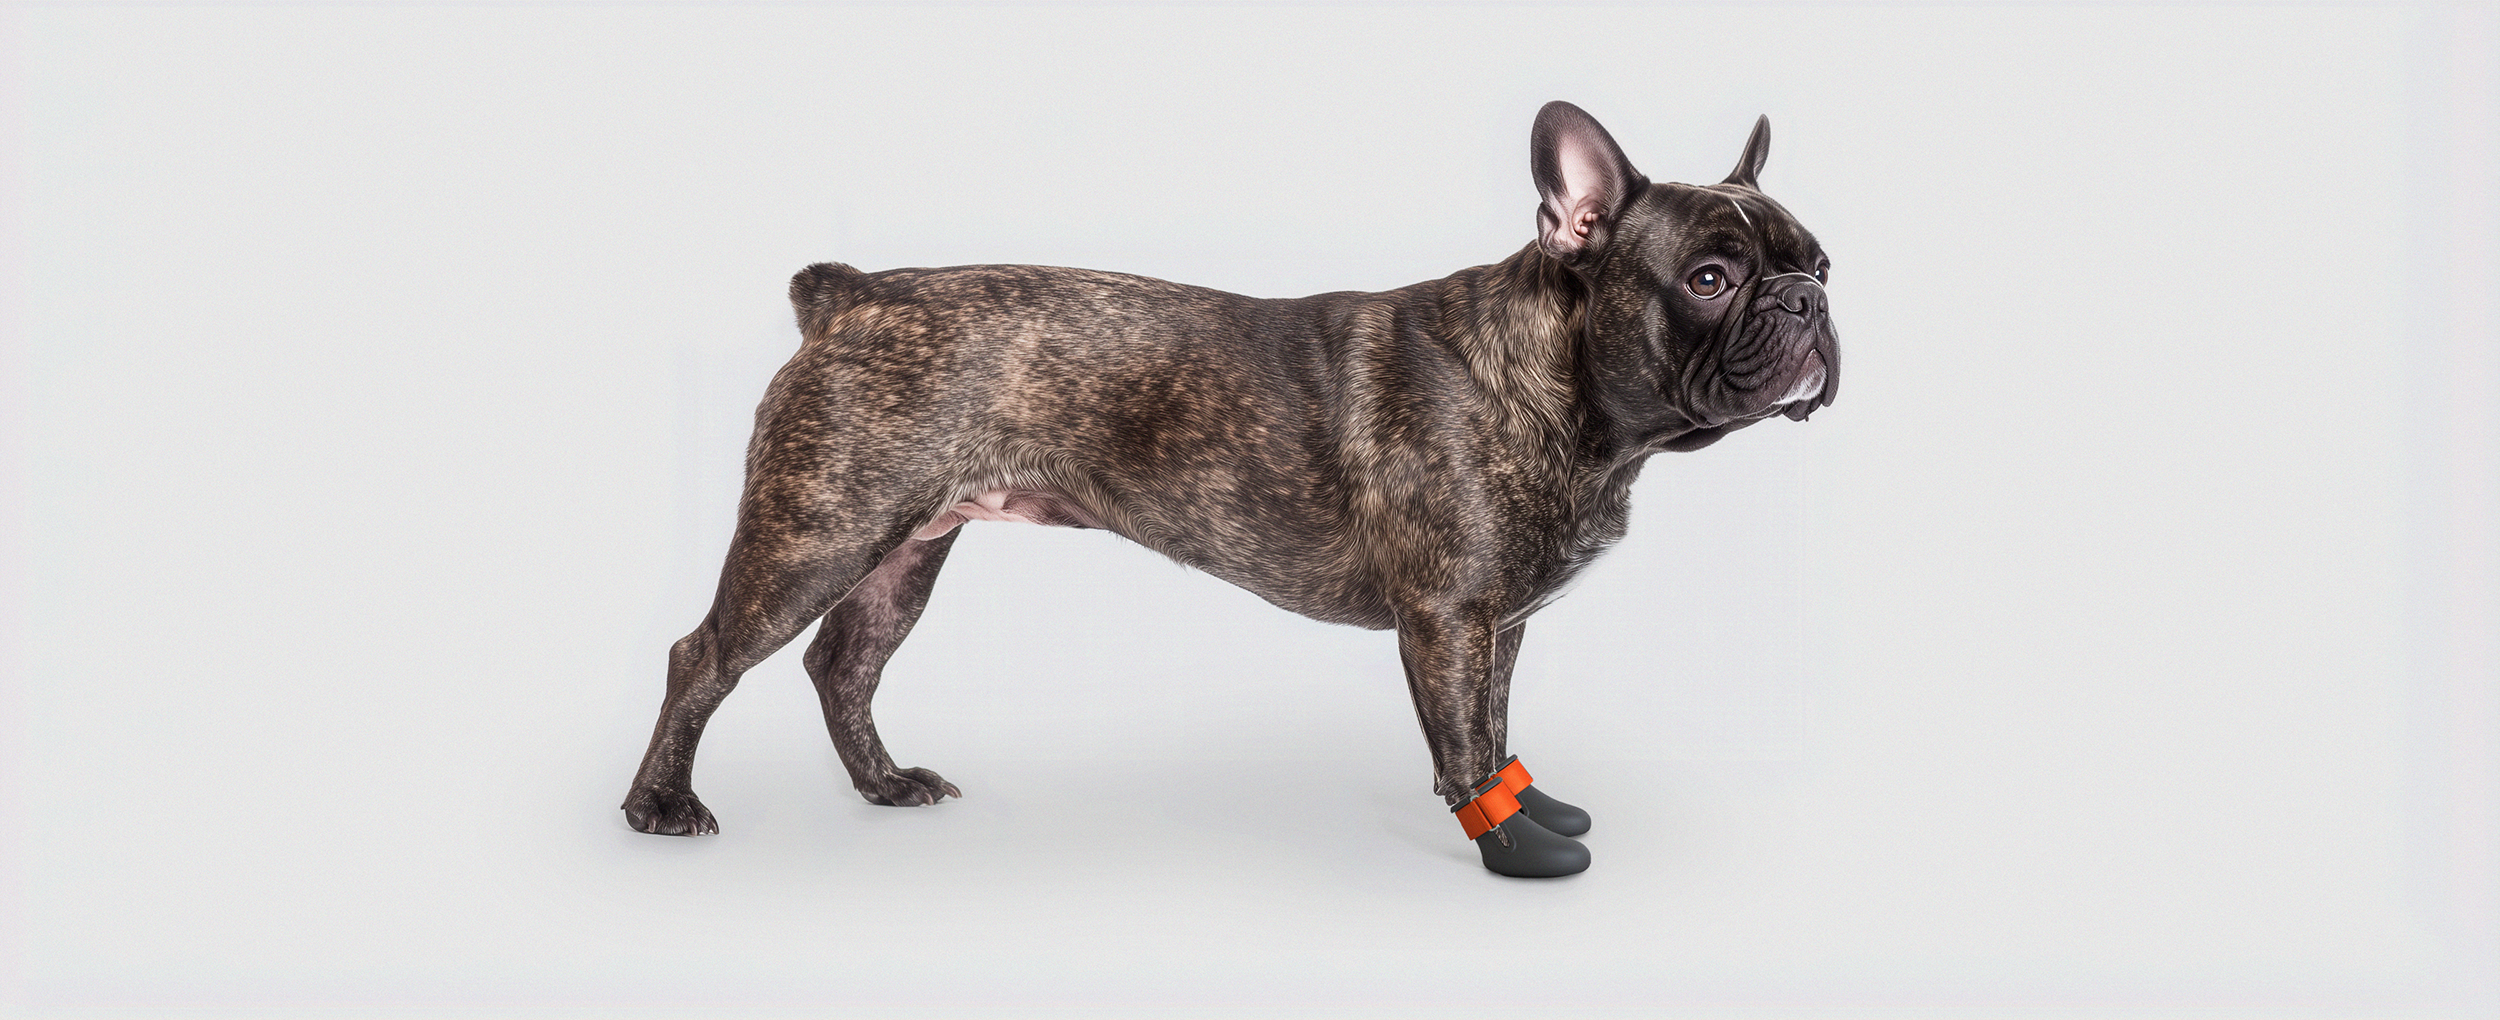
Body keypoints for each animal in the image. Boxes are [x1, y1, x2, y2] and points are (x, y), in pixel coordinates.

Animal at [625, 101, 1840, 875]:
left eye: (1822, 264)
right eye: (1710, 278)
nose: (1805, 304)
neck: (1566, 392)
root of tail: (853, 295)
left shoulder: (1500, 623)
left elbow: (1496, 727)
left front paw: (1532, 804)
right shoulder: (1449, 618)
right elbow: (1461, 743)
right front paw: (1512, 847)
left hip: (903, 551)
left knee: (845, 663)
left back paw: (883, 788)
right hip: (819, 532)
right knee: (705, 656)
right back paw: (660, 806)